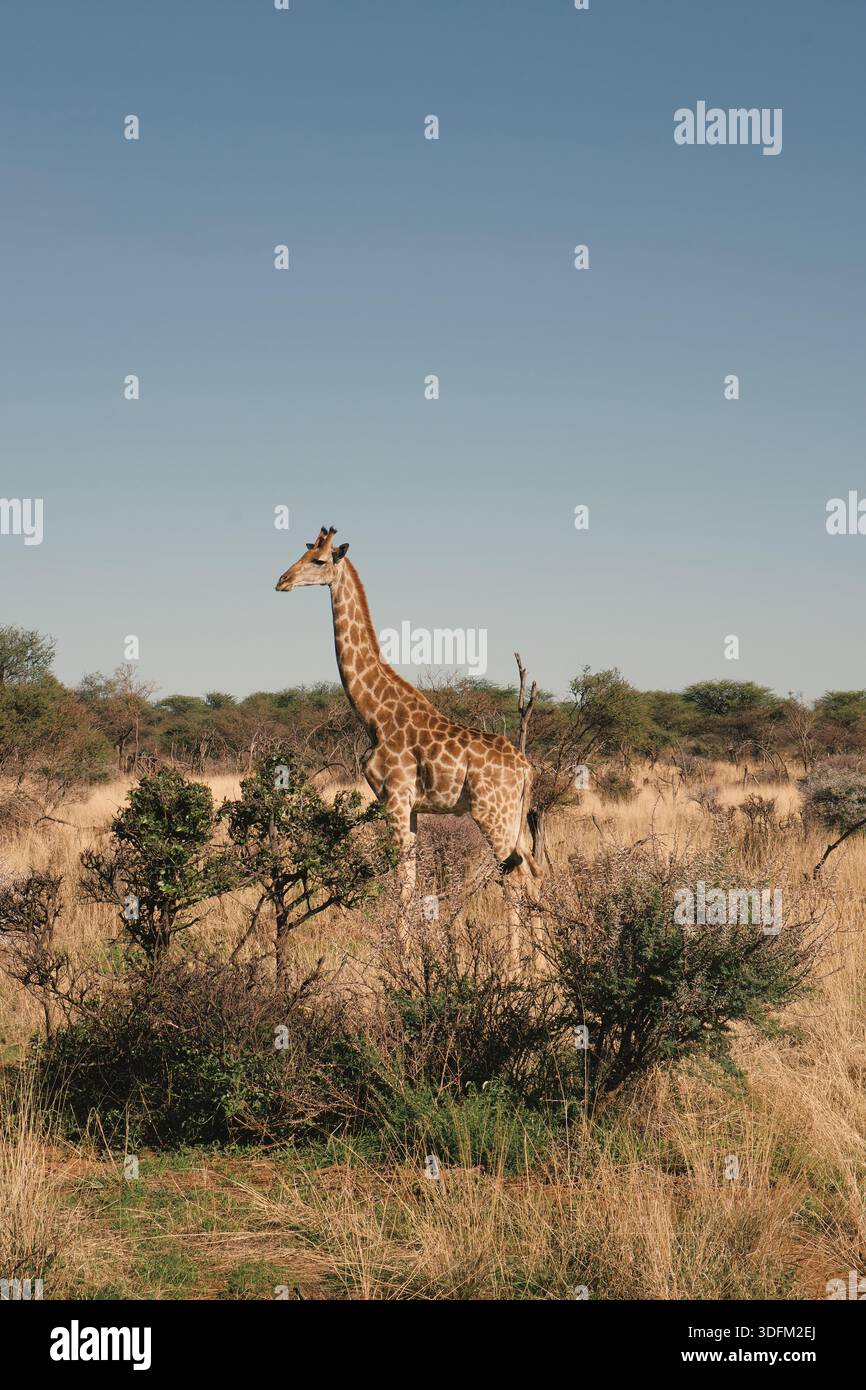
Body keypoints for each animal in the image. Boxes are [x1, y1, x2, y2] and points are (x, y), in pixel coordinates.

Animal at [275, 526, 543, 905]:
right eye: (305, 552)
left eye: (320, 559)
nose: (282, 581)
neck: (374, 715)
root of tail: (526, 768)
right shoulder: (411, 806)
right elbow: (412, 880)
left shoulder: (396, 800)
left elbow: (402, 885)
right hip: (514, 817)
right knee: (533, 874)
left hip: (492, 813)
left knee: (515, 878)